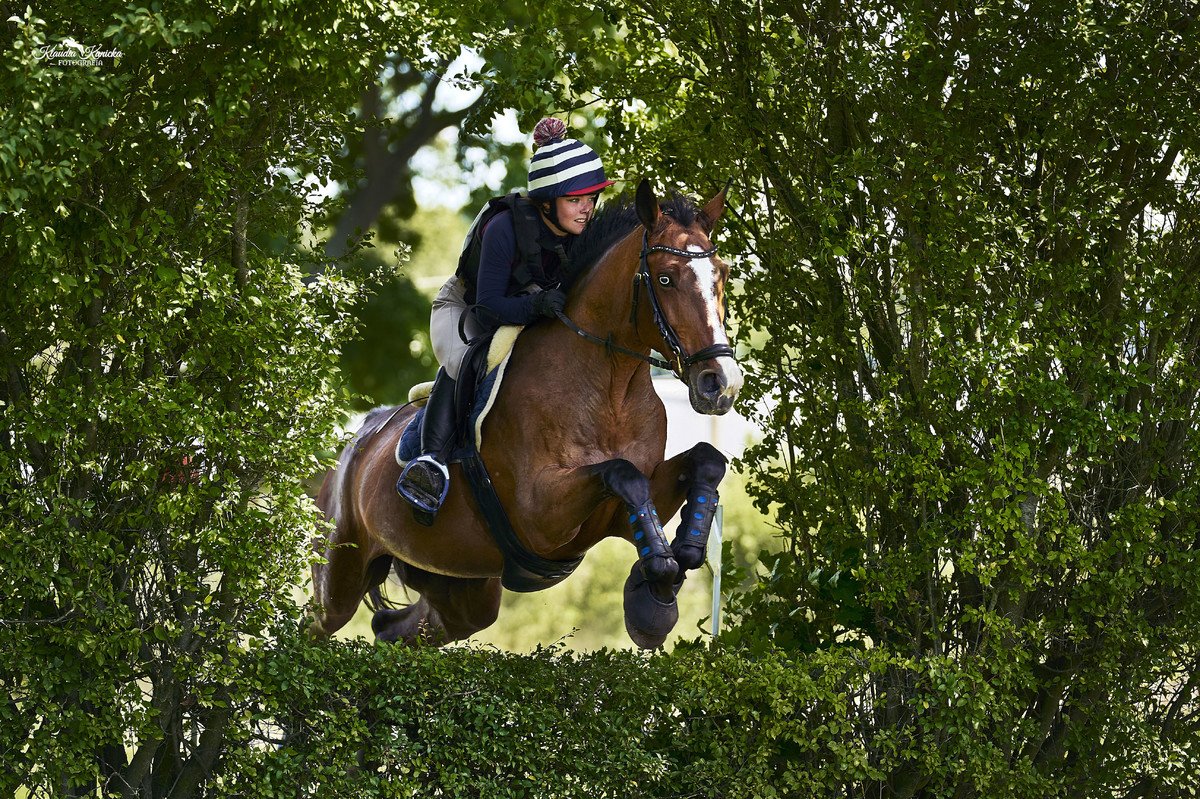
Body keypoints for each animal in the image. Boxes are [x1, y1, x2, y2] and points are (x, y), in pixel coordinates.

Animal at [309, 179, 739, 647]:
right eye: (665, 278)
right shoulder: (540, 517)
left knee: (396, 628)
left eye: (723, 275)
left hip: (460, 586)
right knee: (315, 622)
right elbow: (622, 473)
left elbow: (705, 459)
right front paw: (657, 584)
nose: (721, 383)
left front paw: (683, 557)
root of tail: (355, 441)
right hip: (340, 570)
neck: (611, 388)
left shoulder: (617, 515)